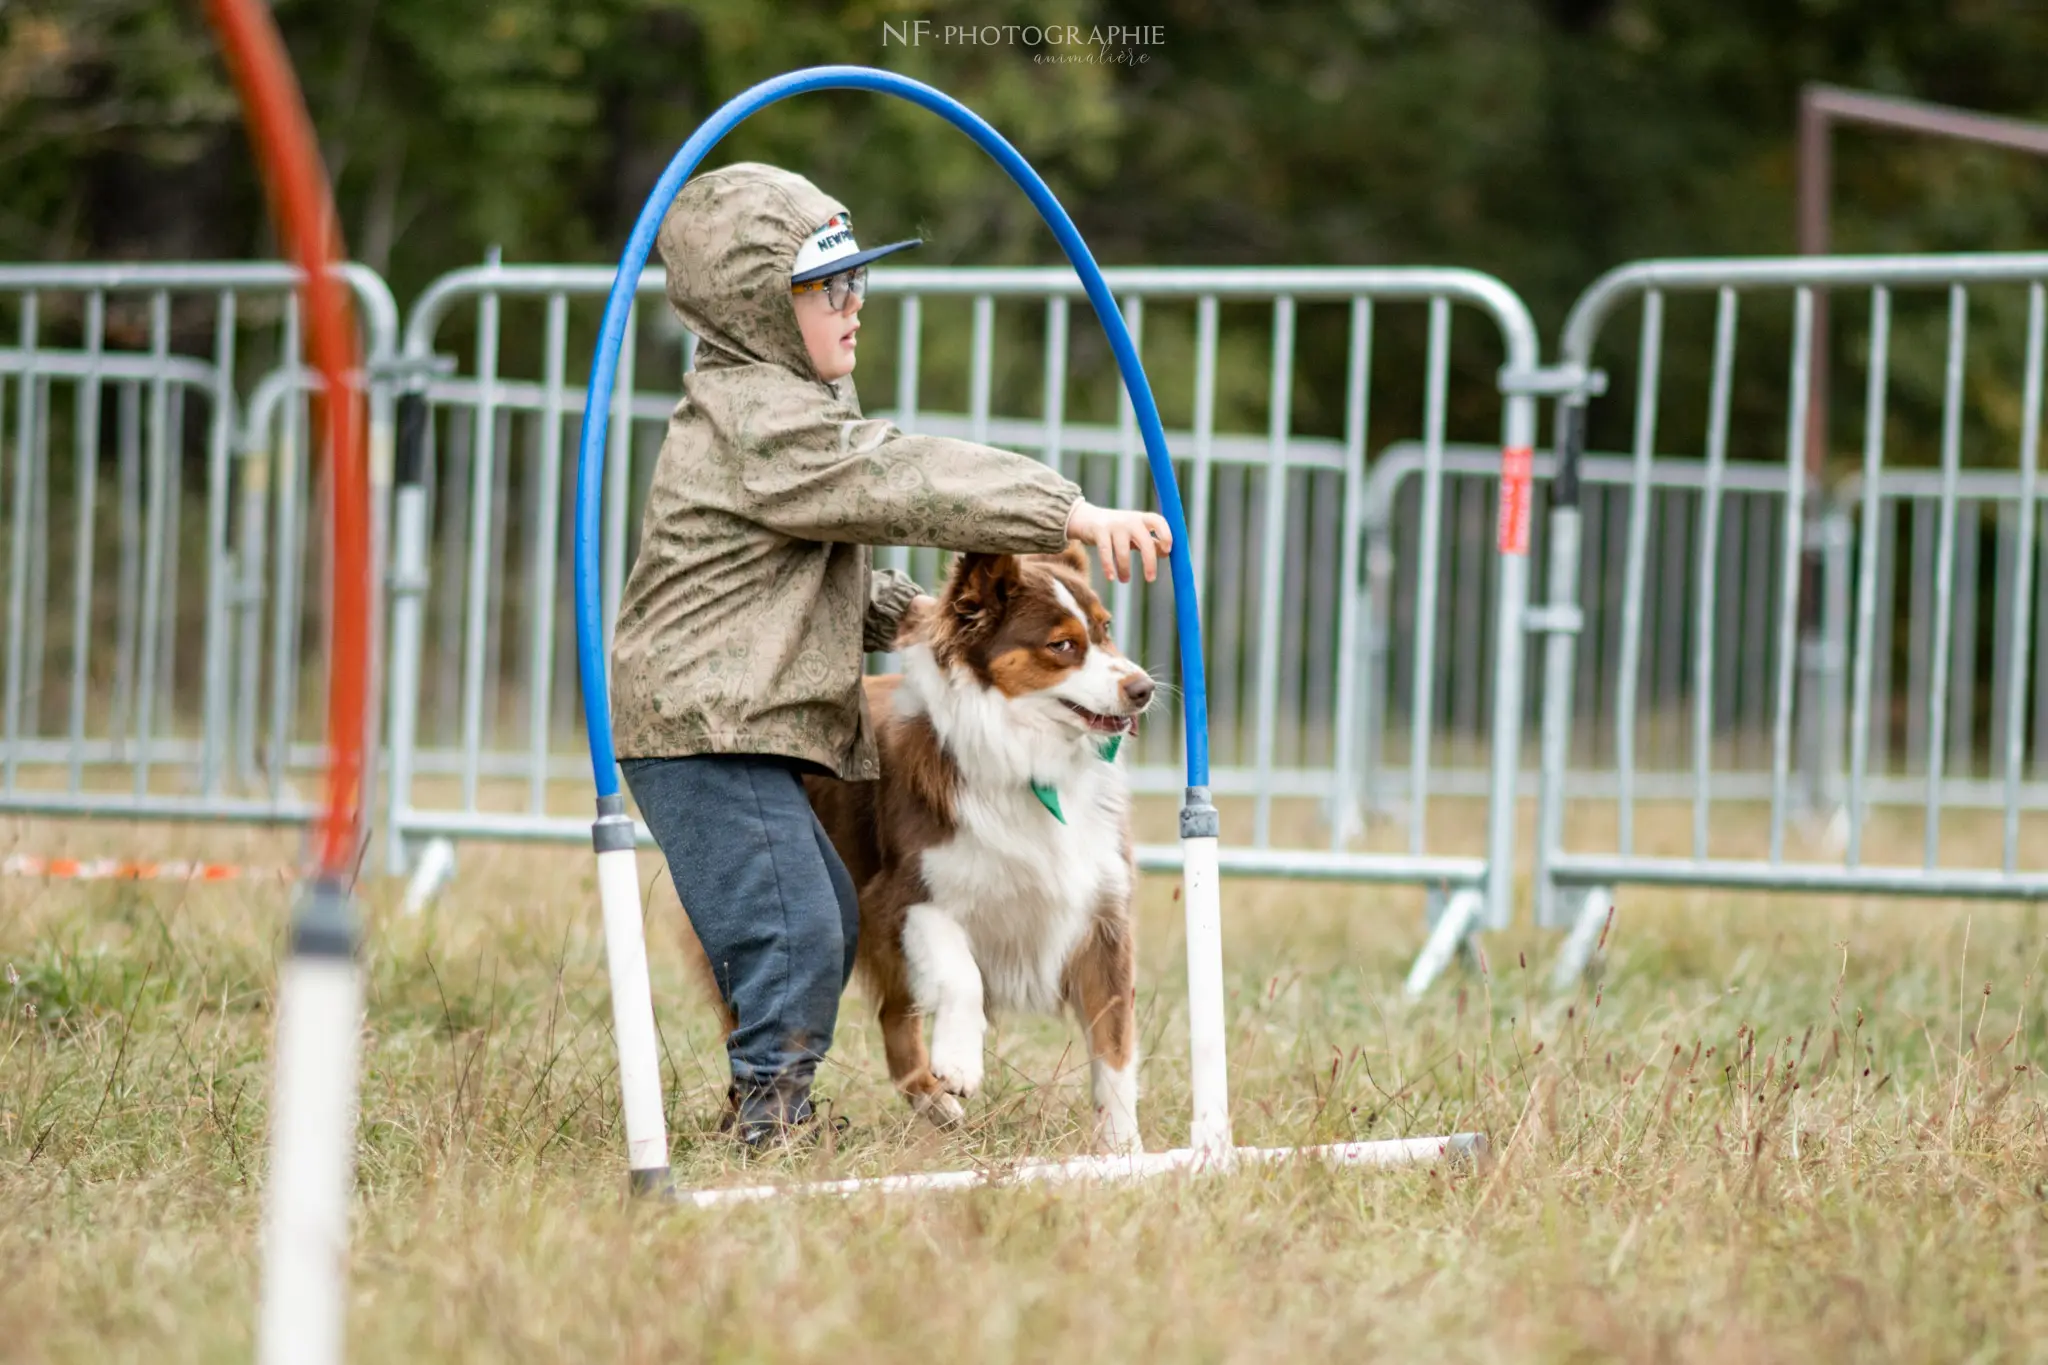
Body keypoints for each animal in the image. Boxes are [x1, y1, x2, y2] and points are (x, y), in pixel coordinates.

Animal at [798, 544, 1155, 1154]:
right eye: (1062, 645)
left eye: (1106, 631)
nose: (1145, 688)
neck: (1029, 757)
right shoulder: (905, 895)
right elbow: (960, 974)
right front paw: (961, 1062)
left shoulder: (1103, 919)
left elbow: (1115, 1049)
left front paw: (1123, 1151)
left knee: (893, 1018)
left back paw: (936, 1107)